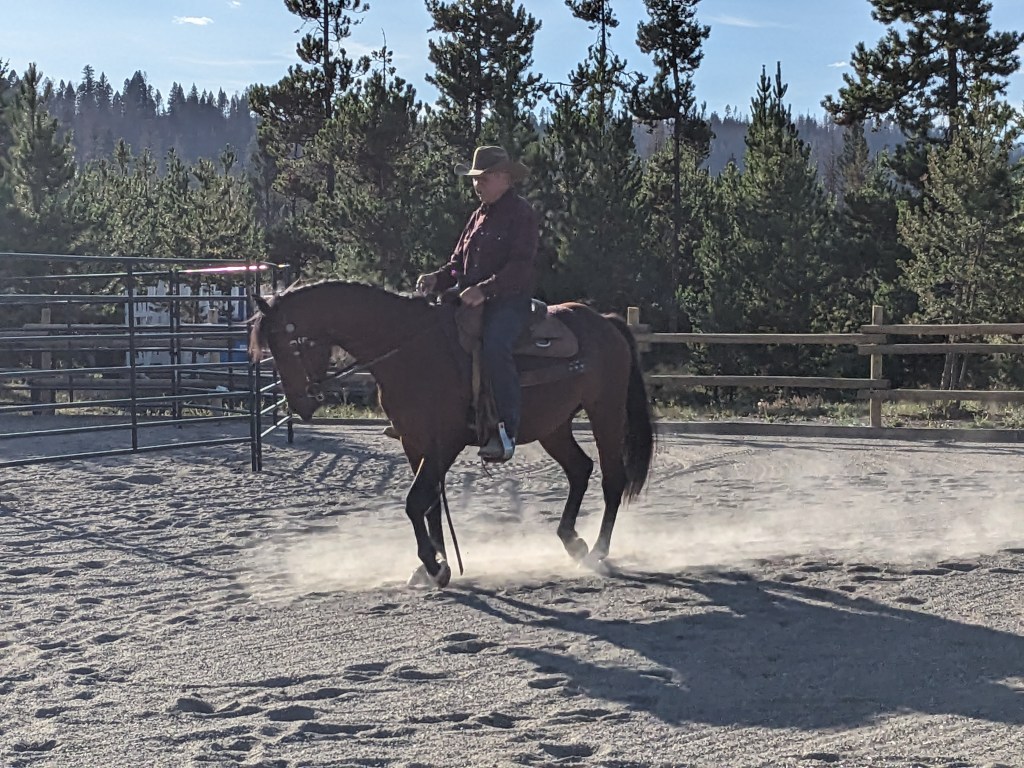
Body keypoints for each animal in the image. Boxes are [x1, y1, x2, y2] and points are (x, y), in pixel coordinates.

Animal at [249, 281, 654, 587]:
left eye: (287, 345)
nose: (300, 403)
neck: (410, 350)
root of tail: (605, 322)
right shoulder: (414, 442)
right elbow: (428, 504)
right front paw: (433, 564)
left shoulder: (445, 442)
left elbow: (415, 501)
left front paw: (435, 565)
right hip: (553, 426)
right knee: (579, 470)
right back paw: (573, 542)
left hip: (605, 412)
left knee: (612, 479)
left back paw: (598, 552)